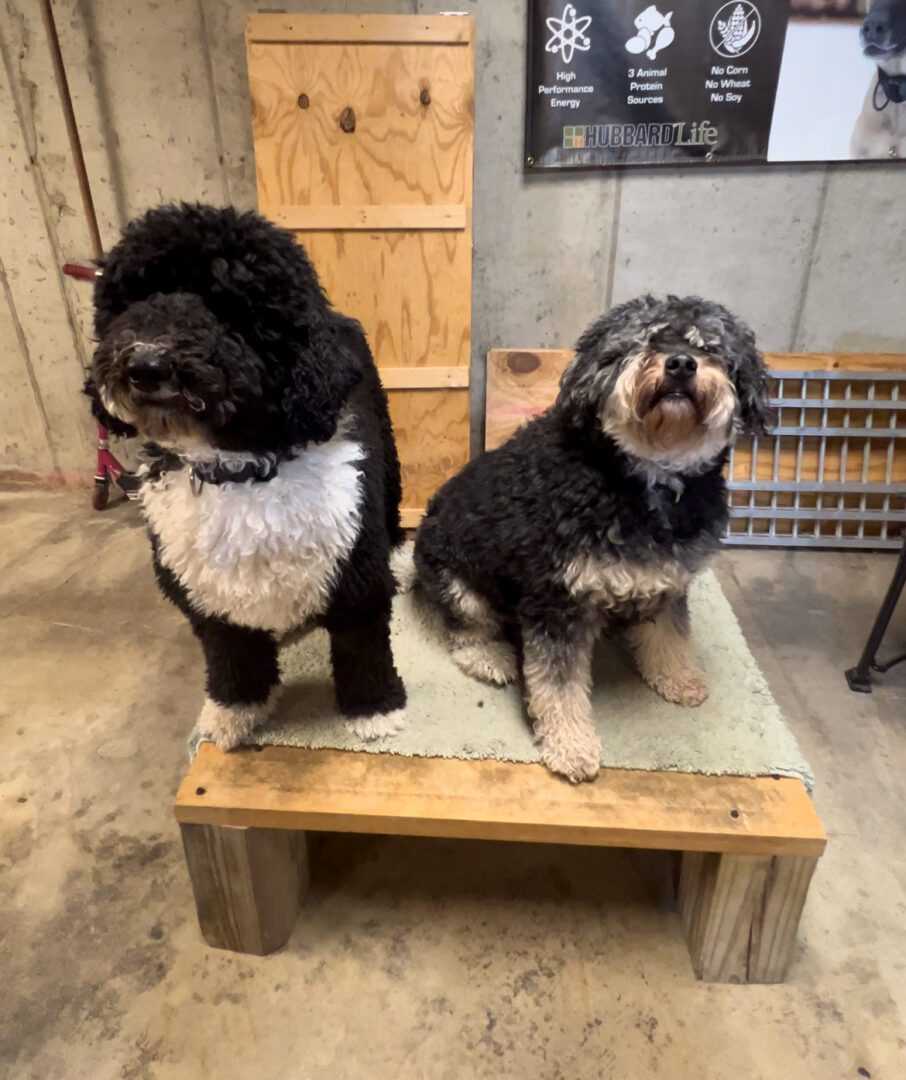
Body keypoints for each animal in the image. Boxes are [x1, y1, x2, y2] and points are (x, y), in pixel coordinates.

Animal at [87, 203, 408, 751]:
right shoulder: (206, 597)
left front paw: (375, 709)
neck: (241, 472)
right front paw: (234, 711)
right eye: (134, 299)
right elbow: (232, 655)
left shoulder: (355, 573)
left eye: (227, 304)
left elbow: (362, 646)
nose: (145, 364)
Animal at [414, 295, 768, 786]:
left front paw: (678, 679)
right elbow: (557, 686)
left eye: (708, 346)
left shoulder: (668, 579)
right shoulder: (554, 600)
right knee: (467, 629)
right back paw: (490, 657)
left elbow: (670, 635)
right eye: (643, 340)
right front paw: (571, 746)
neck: (642, 479)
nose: (680, 364)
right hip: (458, 580)